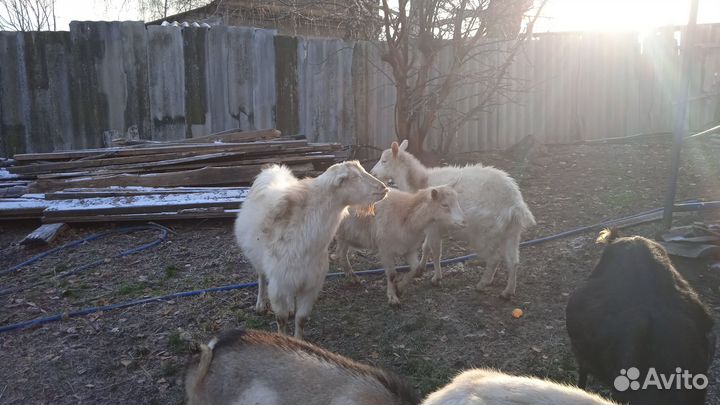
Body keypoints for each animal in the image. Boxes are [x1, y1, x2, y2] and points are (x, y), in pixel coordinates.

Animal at [234, 161, 387, 339]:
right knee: (260, 277)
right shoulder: (278, 285)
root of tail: (273, 170)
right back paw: (260, 304)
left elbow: (301, 319)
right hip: (258, 260)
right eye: (354, 177)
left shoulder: (311, 285)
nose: (384, 188)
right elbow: (281, 320)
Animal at [334, 186, 466, 306]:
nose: (463, 222)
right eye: (444, 205)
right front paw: (392, 297)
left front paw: (400, 288)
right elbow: (392, 275)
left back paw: (352, 277)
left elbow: (416, 269)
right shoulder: (385, 250)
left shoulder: (409, 248)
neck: (406, 215)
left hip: (346, 236)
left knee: (342, 253)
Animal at [370, 140, 535, 299]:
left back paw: (482, 284)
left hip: (485, 233)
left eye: (384, 161)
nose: (372, 172)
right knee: (513, 261)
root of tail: (515, 204)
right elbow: (426, 247)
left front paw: (436, 278)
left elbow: (436, 251)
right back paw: (508, 291)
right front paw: (421, 269)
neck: (420, 182)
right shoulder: (431, 226)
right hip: (512, 232)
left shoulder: (434, 226)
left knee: (494, 259)